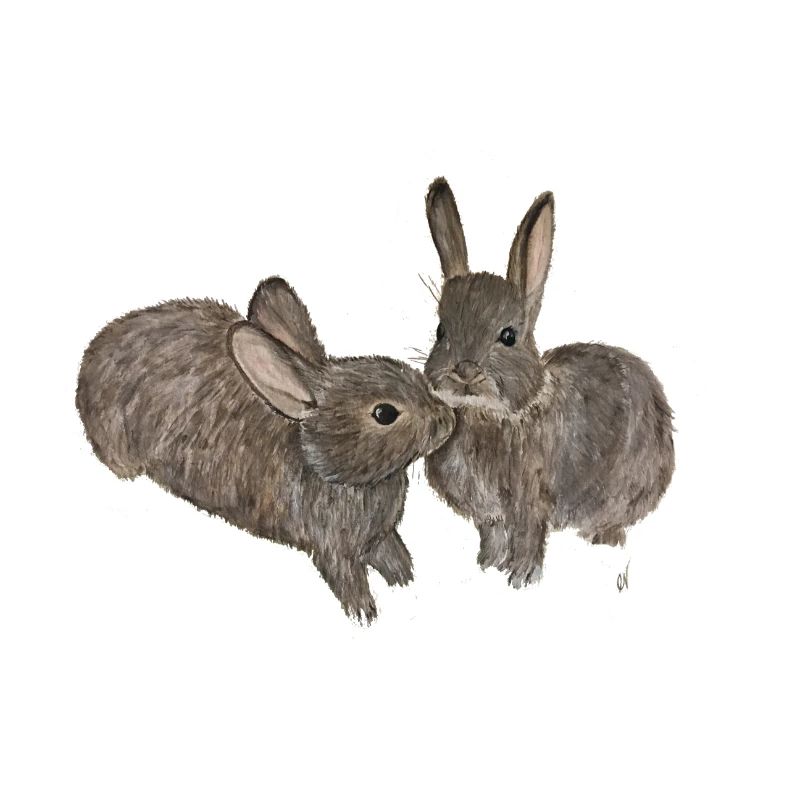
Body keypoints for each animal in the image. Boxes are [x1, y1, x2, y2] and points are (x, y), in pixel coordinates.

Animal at [76, 277, 455, 622]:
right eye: (384, 413)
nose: (447, 421)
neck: (323, 463)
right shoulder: (334, 549)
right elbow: (348, 578)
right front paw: (364, 612)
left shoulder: (380, 535)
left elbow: (393, 553)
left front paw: (406, 577)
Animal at [422, 178, 674, 587]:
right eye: (441, 331)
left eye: (509, 336)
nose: (466, 370)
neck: (487, 416)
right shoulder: (489, 515)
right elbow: (493, 536)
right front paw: (487, 565)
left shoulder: (530, 499)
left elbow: (528, 535)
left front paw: (521, 577)